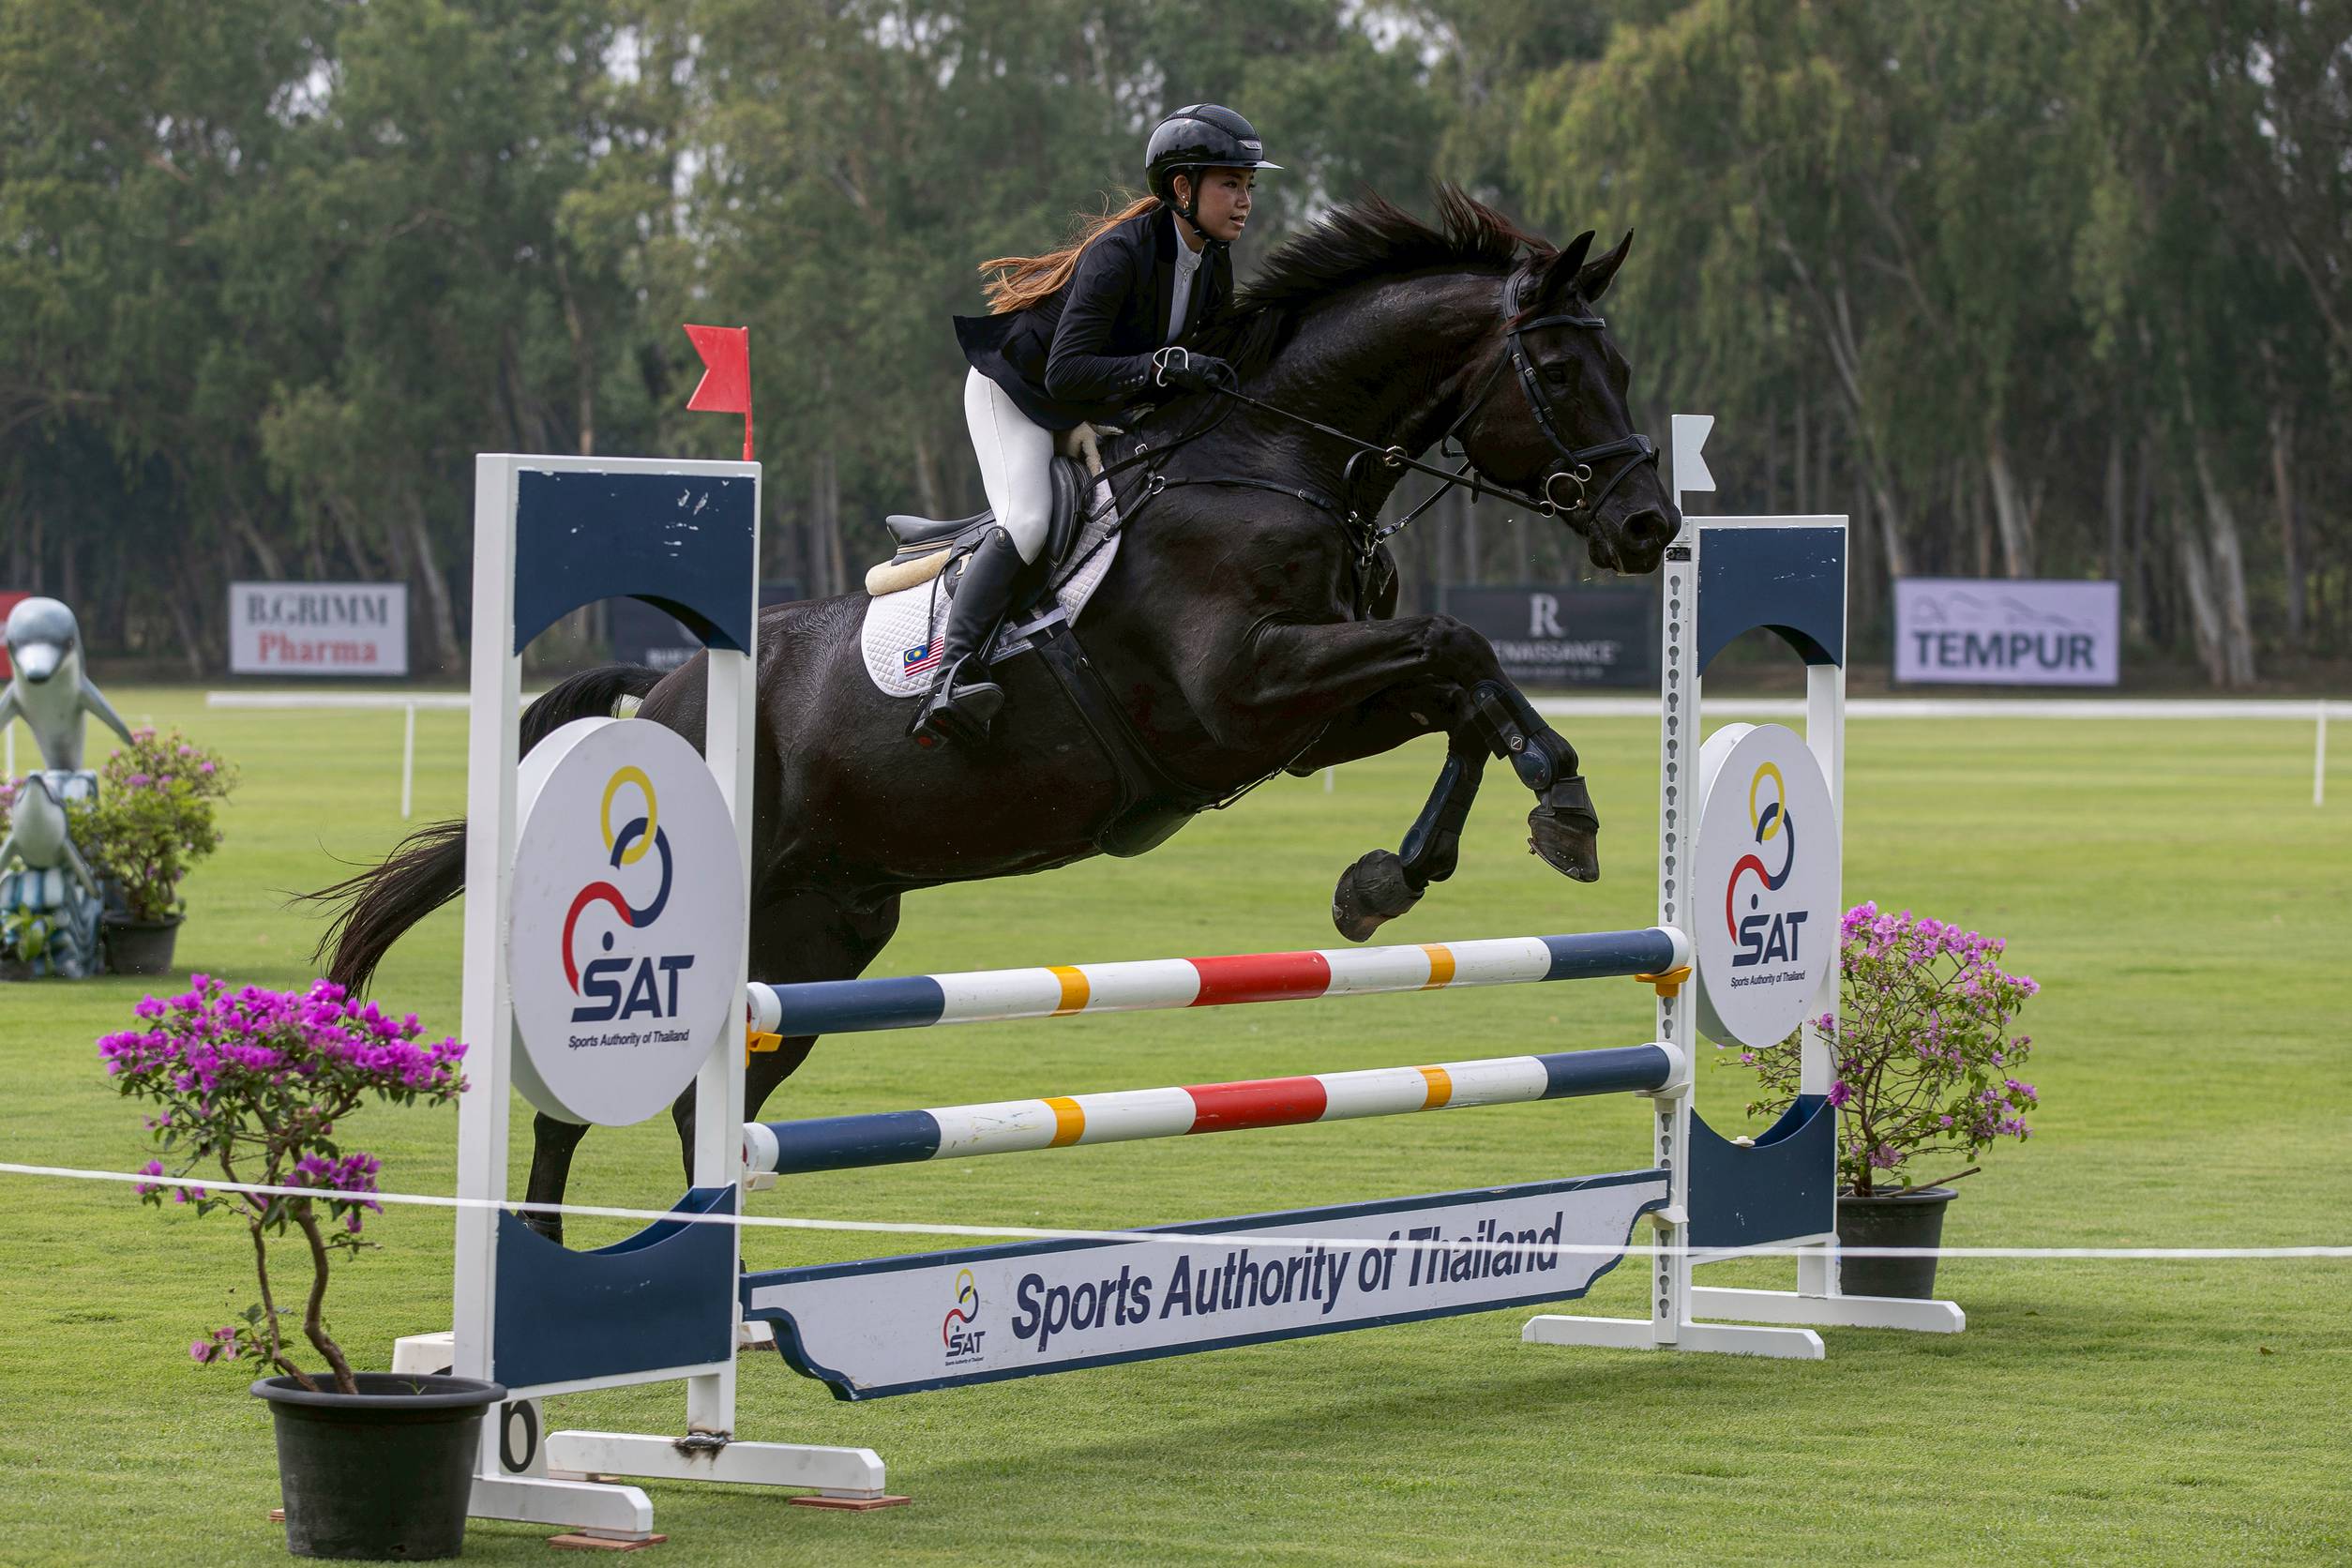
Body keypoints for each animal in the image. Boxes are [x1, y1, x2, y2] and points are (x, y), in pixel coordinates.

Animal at [311, 188, 1680, 1242]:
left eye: (1624, 366)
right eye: (1561, 370)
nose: (1648, 526)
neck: (1274, 463)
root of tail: (662, 691)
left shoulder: (1307, 719)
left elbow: (1463, 692)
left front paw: (1412, 870)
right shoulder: (1240, 690)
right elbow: (1460, 647)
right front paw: (1554, 801)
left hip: (821, 936)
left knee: (715, 1103)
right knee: (593, 1092)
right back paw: (555, 1264)